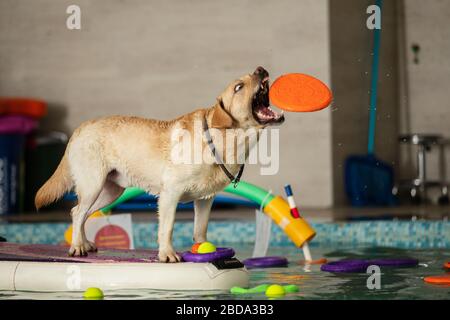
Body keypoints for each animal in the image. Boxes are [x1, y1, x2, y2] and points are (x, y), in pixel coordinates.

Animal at [35, 66, 284, 262]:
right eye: (239, 87)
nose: (261, 69)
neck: (222, 139)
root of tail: (80, 128)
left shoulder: (205, 199)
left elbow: (200, 229)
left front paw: (204, 251)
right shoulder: (170, 194)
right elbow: (167, 227)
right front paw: (167, 254)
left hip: (109, 192)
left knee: (81, 213)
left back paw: (84, 243)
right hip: (92, 185)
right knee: (77, 212)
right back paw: (77, 246)